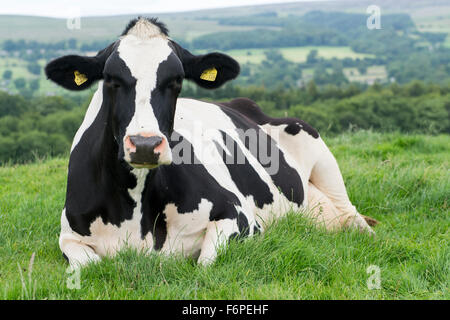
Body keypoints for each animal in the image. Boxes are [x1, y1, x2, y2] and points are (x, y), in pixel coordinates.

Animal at [45, 16, 376, 268]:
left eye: (176, 81)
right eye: (111, 79)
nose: (144, 145)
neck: (136, 211)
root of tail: (244, 103)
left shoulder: (238, 215)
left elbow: (205, 263)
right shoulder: (68, 235)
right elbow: (90, 265)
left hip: (317, 150)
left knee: (350, 213)